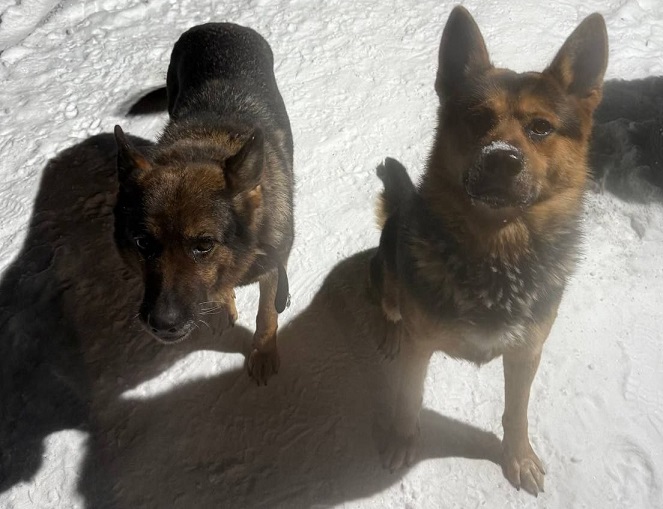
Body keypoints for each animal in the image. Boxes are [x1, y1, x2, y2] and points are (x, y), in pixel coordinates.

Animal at [113, 23, 294, 384]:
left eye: (204, 245)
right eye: (142, 242)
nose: (162, 325)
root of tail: (216, 25)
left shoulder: (274, 267)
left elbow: (267, 313)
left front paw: (264, 352)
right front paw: (224, 302)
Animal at [370, 6, 608, 495]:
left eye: (541, 127)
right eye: (478, 118)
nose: (501, 158)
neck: (498, 248)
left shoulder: (526, 352)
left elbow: (517, 411)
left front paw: (517, 457)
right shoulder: (419, 347)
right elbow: (408, 399)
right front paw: (402, 439)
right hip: (386, 268)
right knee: (388, 303)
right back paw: (388, 328)